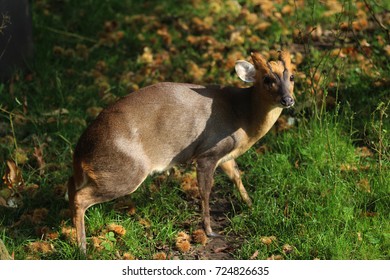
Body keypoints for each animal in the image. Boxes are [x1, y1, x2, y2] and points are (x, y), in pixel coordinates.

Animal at [68, 50, 294, 254]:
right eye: (267, 79)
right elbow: (205, 191)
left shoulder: (224, 155)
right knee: (80, 197)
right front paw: (210, 231)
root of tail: (80, 150)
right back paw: (82, 248)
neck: (243, 116)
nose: (288, 100)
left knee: (71, 184)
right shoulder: (207, 152)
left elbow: (237, 176)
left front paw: (251, 205)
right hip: (126, 171)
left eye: (292, 76)